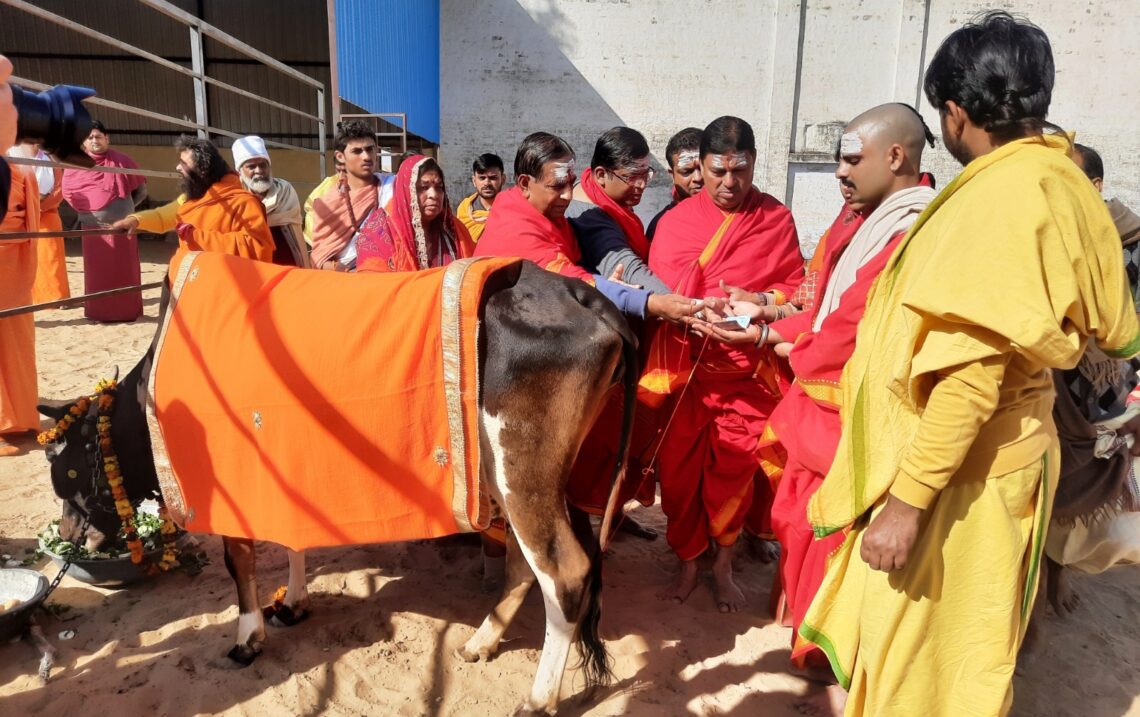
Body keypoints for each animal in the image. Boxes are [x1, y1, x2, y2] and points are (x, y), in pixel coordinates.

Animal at [40, 259, 638, 711]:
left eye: (66, 472)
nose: (67, 540)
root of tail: (575, 291)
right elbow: (293, 540)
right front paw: (293, 604)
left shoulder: (232, 482)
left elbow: (240, 561)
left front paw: (247, 638)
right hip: (519, 480)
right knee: (525, 564)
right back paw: (479, 643)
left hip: (522, 472)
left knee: (565, 572)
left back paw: (537, 698)